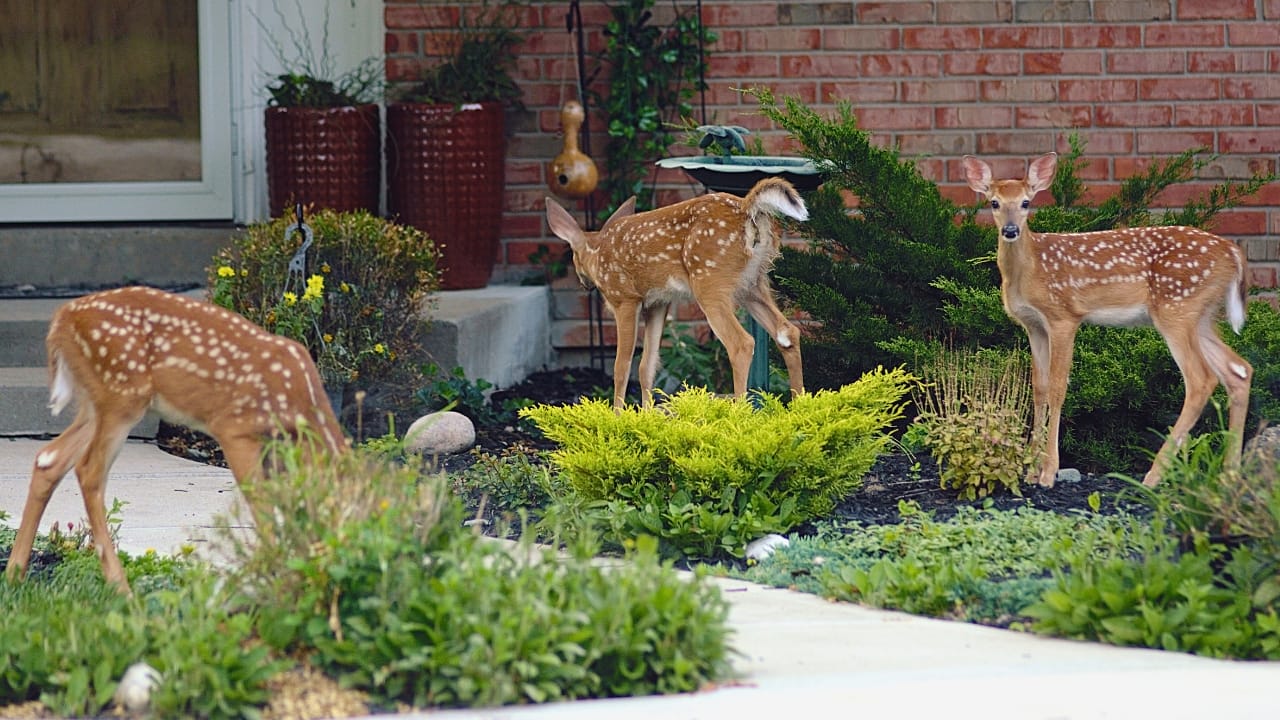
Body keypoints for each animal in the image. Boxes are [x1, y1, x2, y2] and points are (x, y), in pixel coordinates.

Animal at [3, 285, 348, 593]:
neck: (300, 404)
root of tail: (62, 317)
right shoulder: (234, 428)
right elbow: (260, 503)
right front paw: (278, 577)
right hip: (122, 394)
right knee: (89, 471)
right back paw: (121, 587)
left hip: (95, 401)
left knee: (49, 459)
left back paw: (15, 574)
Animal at [545, 176, 807, 409]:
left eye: (573, 255)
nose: (584, 283)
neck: (598, 252)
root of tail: (747, 208)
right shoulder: (658, 303)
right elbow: (647, 365)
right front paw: (647, 416)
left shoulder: (625, 299)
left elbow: (622, 366)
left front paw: (617, 416)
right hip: (752, 284)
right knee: (787, 332)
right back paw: (797, 410)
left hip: (709, 282)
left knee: (741, 343)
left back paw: (739, 414)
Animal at [962, 152, 1253, 488]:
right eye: (994, 202)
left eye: (1025, 202)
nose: (1010, 230)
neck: (1029, 271)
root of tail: (1234, 253)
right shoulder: (1033, 325)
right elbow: (1039, 387)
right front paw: (1030, 470)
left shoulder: (1064, 316)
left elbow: (1059, 387)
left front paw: (1048, 472)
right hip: (1200, 315)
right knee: (1238, 370)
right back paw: (1230, 475)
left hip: (1177, 307)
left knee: (1201, 379)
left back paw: (1153, 476)